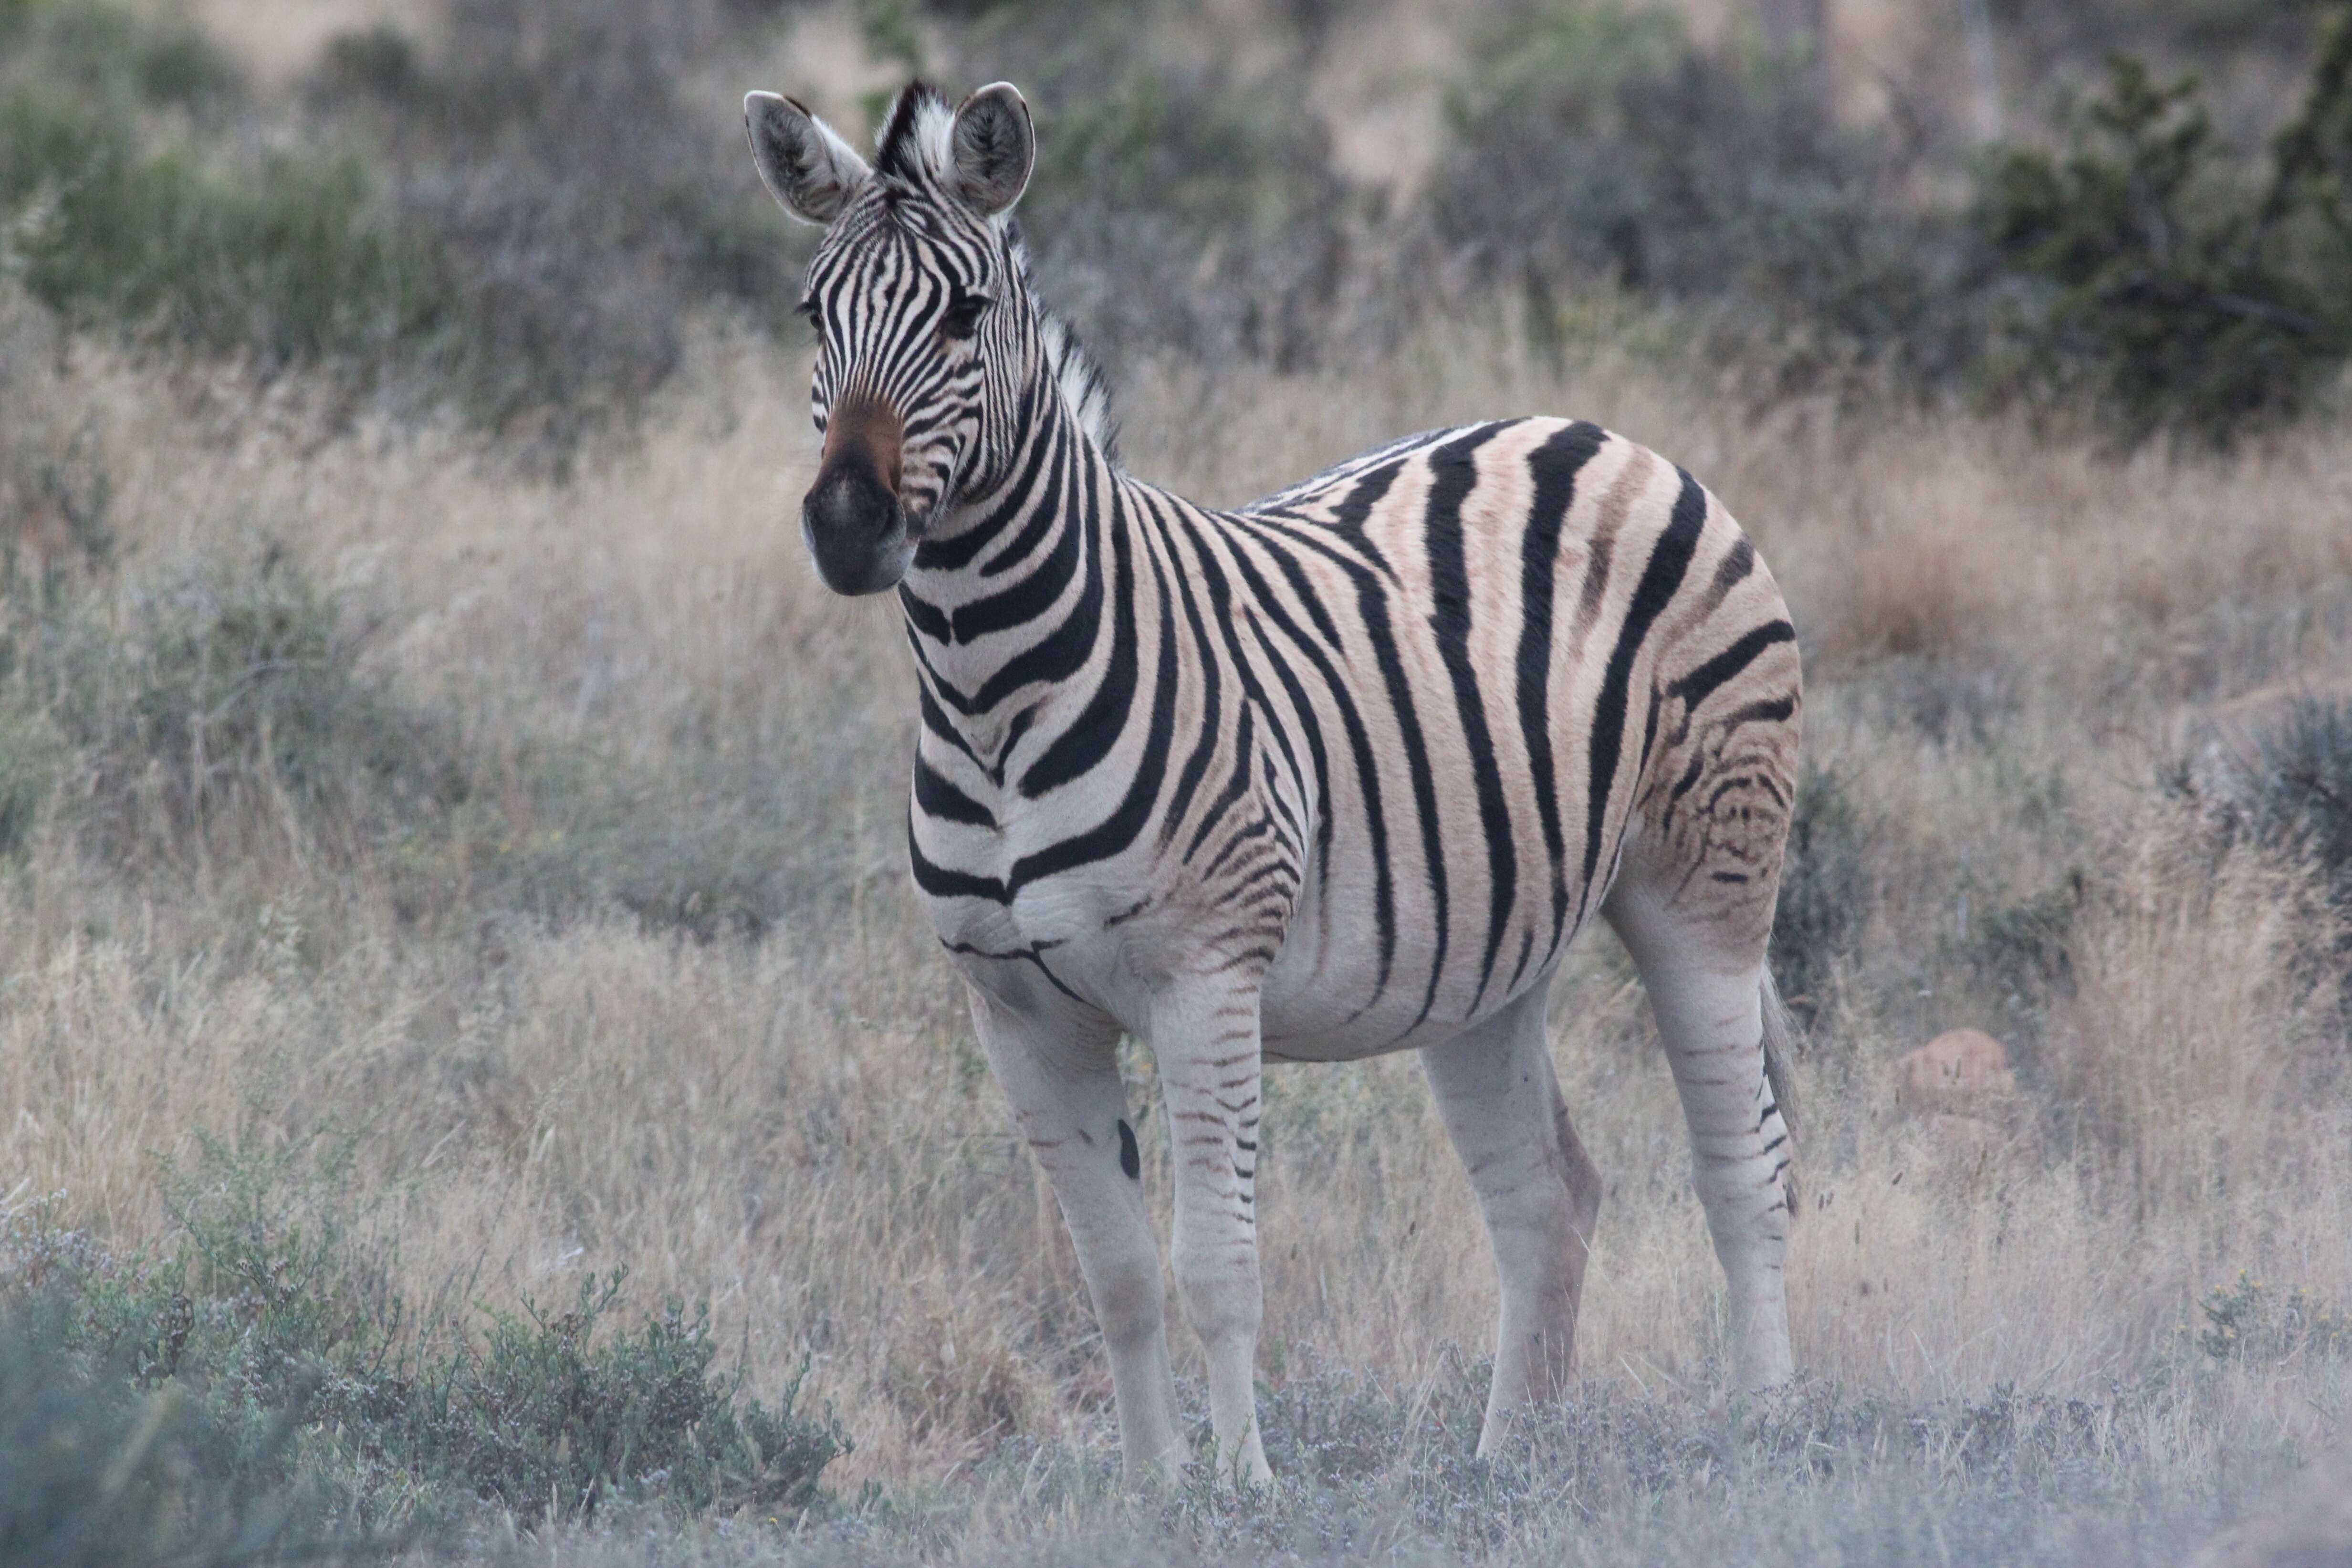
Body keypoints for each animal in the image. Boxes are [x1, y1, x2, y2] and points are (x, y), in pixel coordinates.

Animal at [743, 80, 1806, 1495]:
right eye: (813, 315)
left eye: (965, 314)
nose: (849, 525)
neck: (992, 694)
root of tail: (1597, 432)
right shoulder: (1016, 1011)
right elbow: (1117, 1274)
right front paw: (1154, 1493)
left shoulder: (1206, 977)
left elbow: (1215, 1265)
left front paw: (1245, 1490)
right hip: (1490, 951)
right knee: (1547, 1196)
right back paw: (1501, 1468)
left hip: (1708, 878)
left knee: (1743, 1166)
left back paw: (1766, 1429)